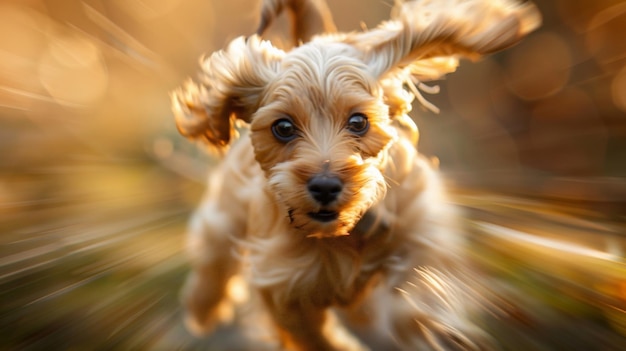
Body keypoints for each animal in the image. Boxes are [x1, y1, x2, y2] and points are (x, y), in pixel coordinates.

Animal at [169, 1, 536, 350]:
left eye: (359, 121)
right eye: (283, 127)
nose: (325, 186)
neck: (341, 235)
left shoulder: (420, 227)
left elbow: (424, 282)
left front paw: (433, 330)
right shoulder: (283, 284)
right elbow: (315, 338)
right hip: (227, 212)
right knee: (214, 252)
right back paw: (203, 308)